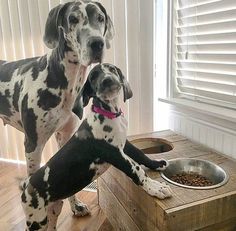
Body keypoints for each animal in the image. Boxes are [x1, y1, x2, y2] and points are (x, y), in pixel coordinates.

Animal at [0, 0, 114, 216]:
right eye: (73, 19)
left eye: (100, 18)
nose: (97, 43)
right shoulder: (33, 145)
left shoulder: (66, 136)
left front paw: (75, 205)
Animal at [20, 63, 171, 231]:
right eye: (93, 77)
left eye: (112, 69)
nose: (107, 80)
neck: (109, 114)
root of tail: (26, 186)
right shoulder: (114, 153)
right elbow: (136, 169)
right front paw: (155, 188)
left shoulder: (124, 144)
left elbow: (140, 154)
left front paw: (157, 164)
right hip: (37, 220)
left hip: (53, 211)